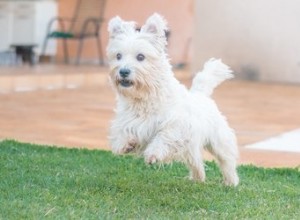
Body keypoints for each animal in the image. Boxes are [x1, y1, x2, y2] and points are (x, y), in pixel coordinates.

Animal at [105, 13, 239, 186]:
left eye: (140, 56)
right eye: (118, 56)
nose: (123, 72)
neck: (144, 97)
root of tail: (201, 95)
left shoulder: (176, 126)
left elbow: (164, 136)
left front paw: (153, 154)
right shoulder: (128, 120)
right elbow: (122, 132)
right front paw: (126, 144)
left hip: (218, 139)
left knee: (226, 159)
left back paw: (231, 182)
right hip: (192, 147)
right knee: (196, 162)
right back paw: (198, 179)